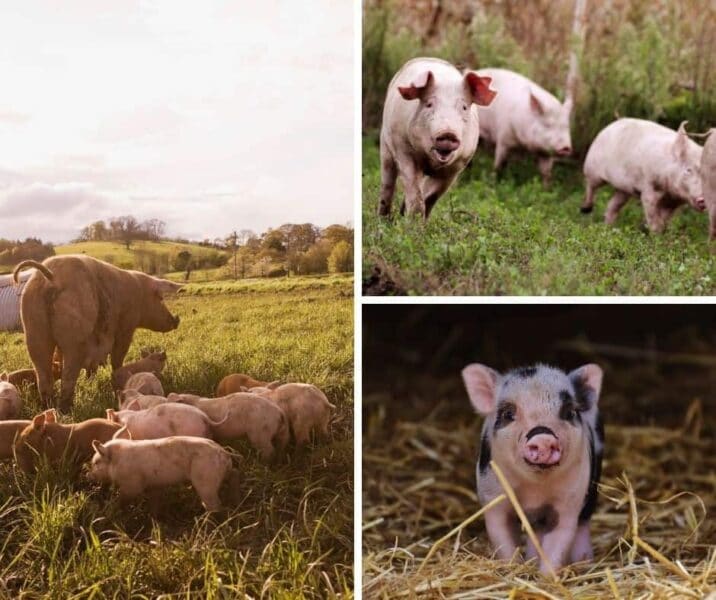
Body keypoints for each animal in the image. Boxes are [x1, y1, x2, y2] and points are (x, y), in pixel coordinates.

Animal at [12, 253, 182, 412]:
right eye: (160, 298)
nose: (176, 320)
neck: (140, 295)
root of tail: (52, 276)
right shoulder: (126, 327)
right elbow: (118, 358)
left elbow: (91, 368)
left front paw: (90, 381)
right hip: (74, 338)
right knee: (68, 375)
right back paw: (67, 408)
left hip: (33, 330)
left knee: (43, 374)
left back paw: (49, 407)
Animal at [88, 436, 235, 510]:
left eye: (96, 462)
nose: (88, 476)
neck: (117, 461)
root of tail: (225, 455)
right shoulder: (155, 485)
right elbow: (155, 502)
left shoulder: (132, 485)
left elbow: (122, 499)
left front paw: (111, 509)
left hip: (206, 478)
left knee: (214, 505)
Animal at [378, 56, 496, 219]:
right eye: (429, 104)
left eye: (464, 107)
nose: (448, 133)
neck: (431, 162)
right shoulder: (404, 151)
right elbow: (415, 195)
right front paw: (413, 223)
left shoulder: (456, 167)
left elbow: (430, 197)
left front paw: (419, 221)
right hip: (385, 143)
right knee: (387, 183)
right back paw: (383, 220)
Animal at [462, 364, 600, 576]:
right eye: (508, 414)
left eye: (569, 413)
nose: (543, 437)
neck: (535, 490)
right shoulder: (493, 498)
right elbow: (503, 540)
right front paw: (514, 570)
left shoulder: (569, 503)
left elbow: (558, 545)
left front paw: (546, 578)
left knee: (582, 524)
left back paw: (584, 563)